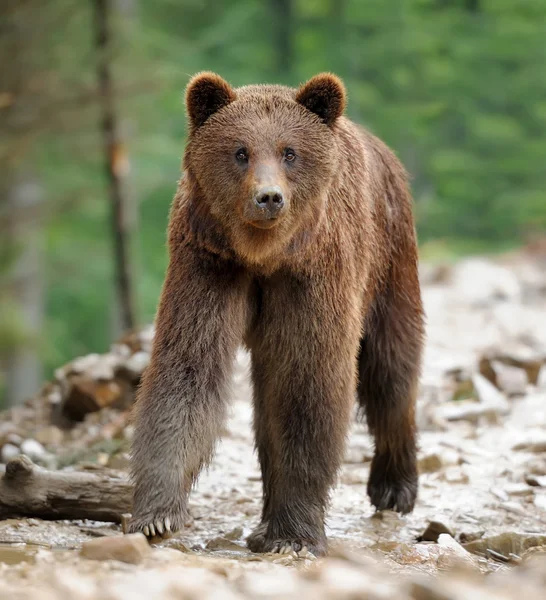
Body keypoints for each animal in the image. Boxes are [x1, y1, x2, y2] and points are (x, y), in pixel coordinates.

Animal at [129, 72, 424, 556]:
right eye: (240, 151)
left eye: (290, 152)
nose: (269, 198)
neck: (264, 256)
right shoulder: (209, 262)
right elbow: (187, 370)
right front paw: (156, 515)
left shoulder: (314, 273)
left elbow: (308, 385)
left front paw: (295, 536)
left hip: (389, 259)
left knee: (391, 370)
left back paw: (394, 487)